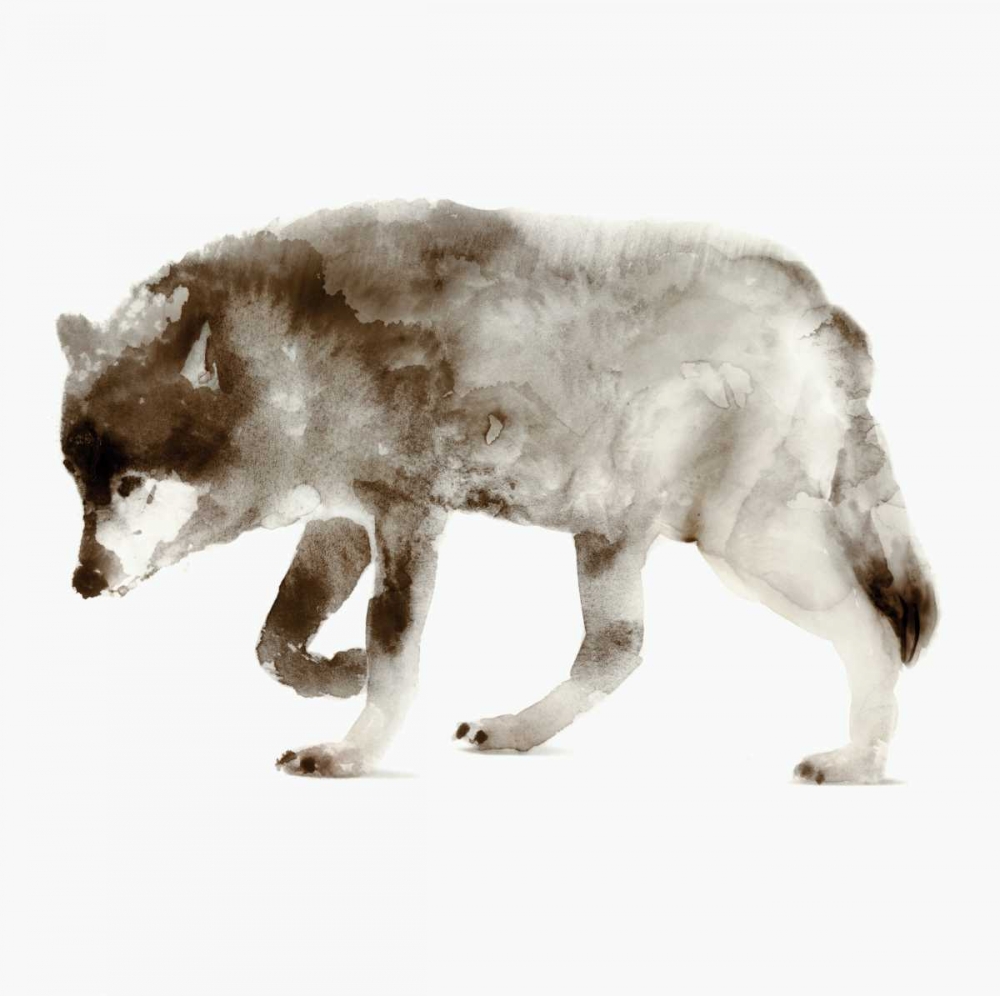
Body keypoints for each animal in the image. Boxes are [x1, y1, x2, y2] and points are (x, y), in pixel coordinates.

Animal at [58, 200, 937, 782]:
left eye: (130, 483)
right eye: (78, 484)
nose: (82, 582)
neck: (287, 356)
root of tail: (819, 305)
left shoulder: (408, 516)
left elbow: (391, 648)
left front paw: (350, 750)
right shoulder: (345, 520)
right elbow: (275, 641)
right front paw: (336, 673)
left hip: (743, 545)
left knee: (875, 629)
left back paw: (859, 760)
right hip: (611, 532)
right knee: (618, 648)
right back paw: (516, 731)